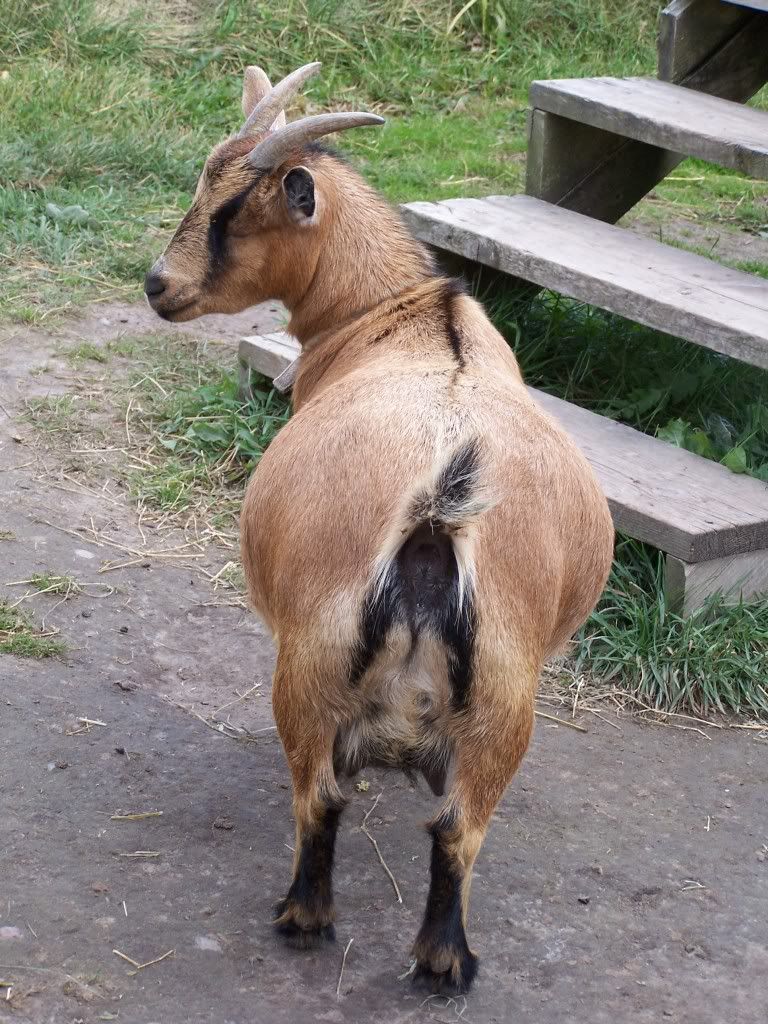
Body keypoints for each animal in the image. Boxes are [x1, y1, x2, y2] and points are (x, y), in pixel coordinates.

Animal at [145, 62, 614, 995]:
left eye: (233, 210)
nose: (156, 286)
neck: (398, 314)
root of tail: (436, 513)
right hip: (506, 694)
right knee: (457, 829)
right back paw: (444, 961)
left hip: (309, 660)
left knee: (321, 795)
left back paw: (304, 917)